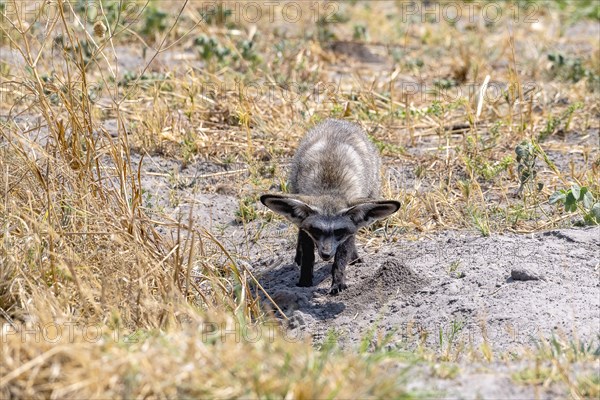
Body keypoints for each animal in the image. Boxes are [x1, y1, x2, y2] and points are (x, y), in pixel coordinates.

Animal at [262, 118, 398, 294]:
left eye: (339, 231)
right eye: (316, 230)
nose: (326, 254)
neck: (330, 189)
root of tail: (338, 120)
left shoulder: (349, 231)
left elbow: (341, 258)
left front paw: (338, 282)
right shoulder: (308, 227)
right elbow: (308, 254)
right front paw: (305, 281)